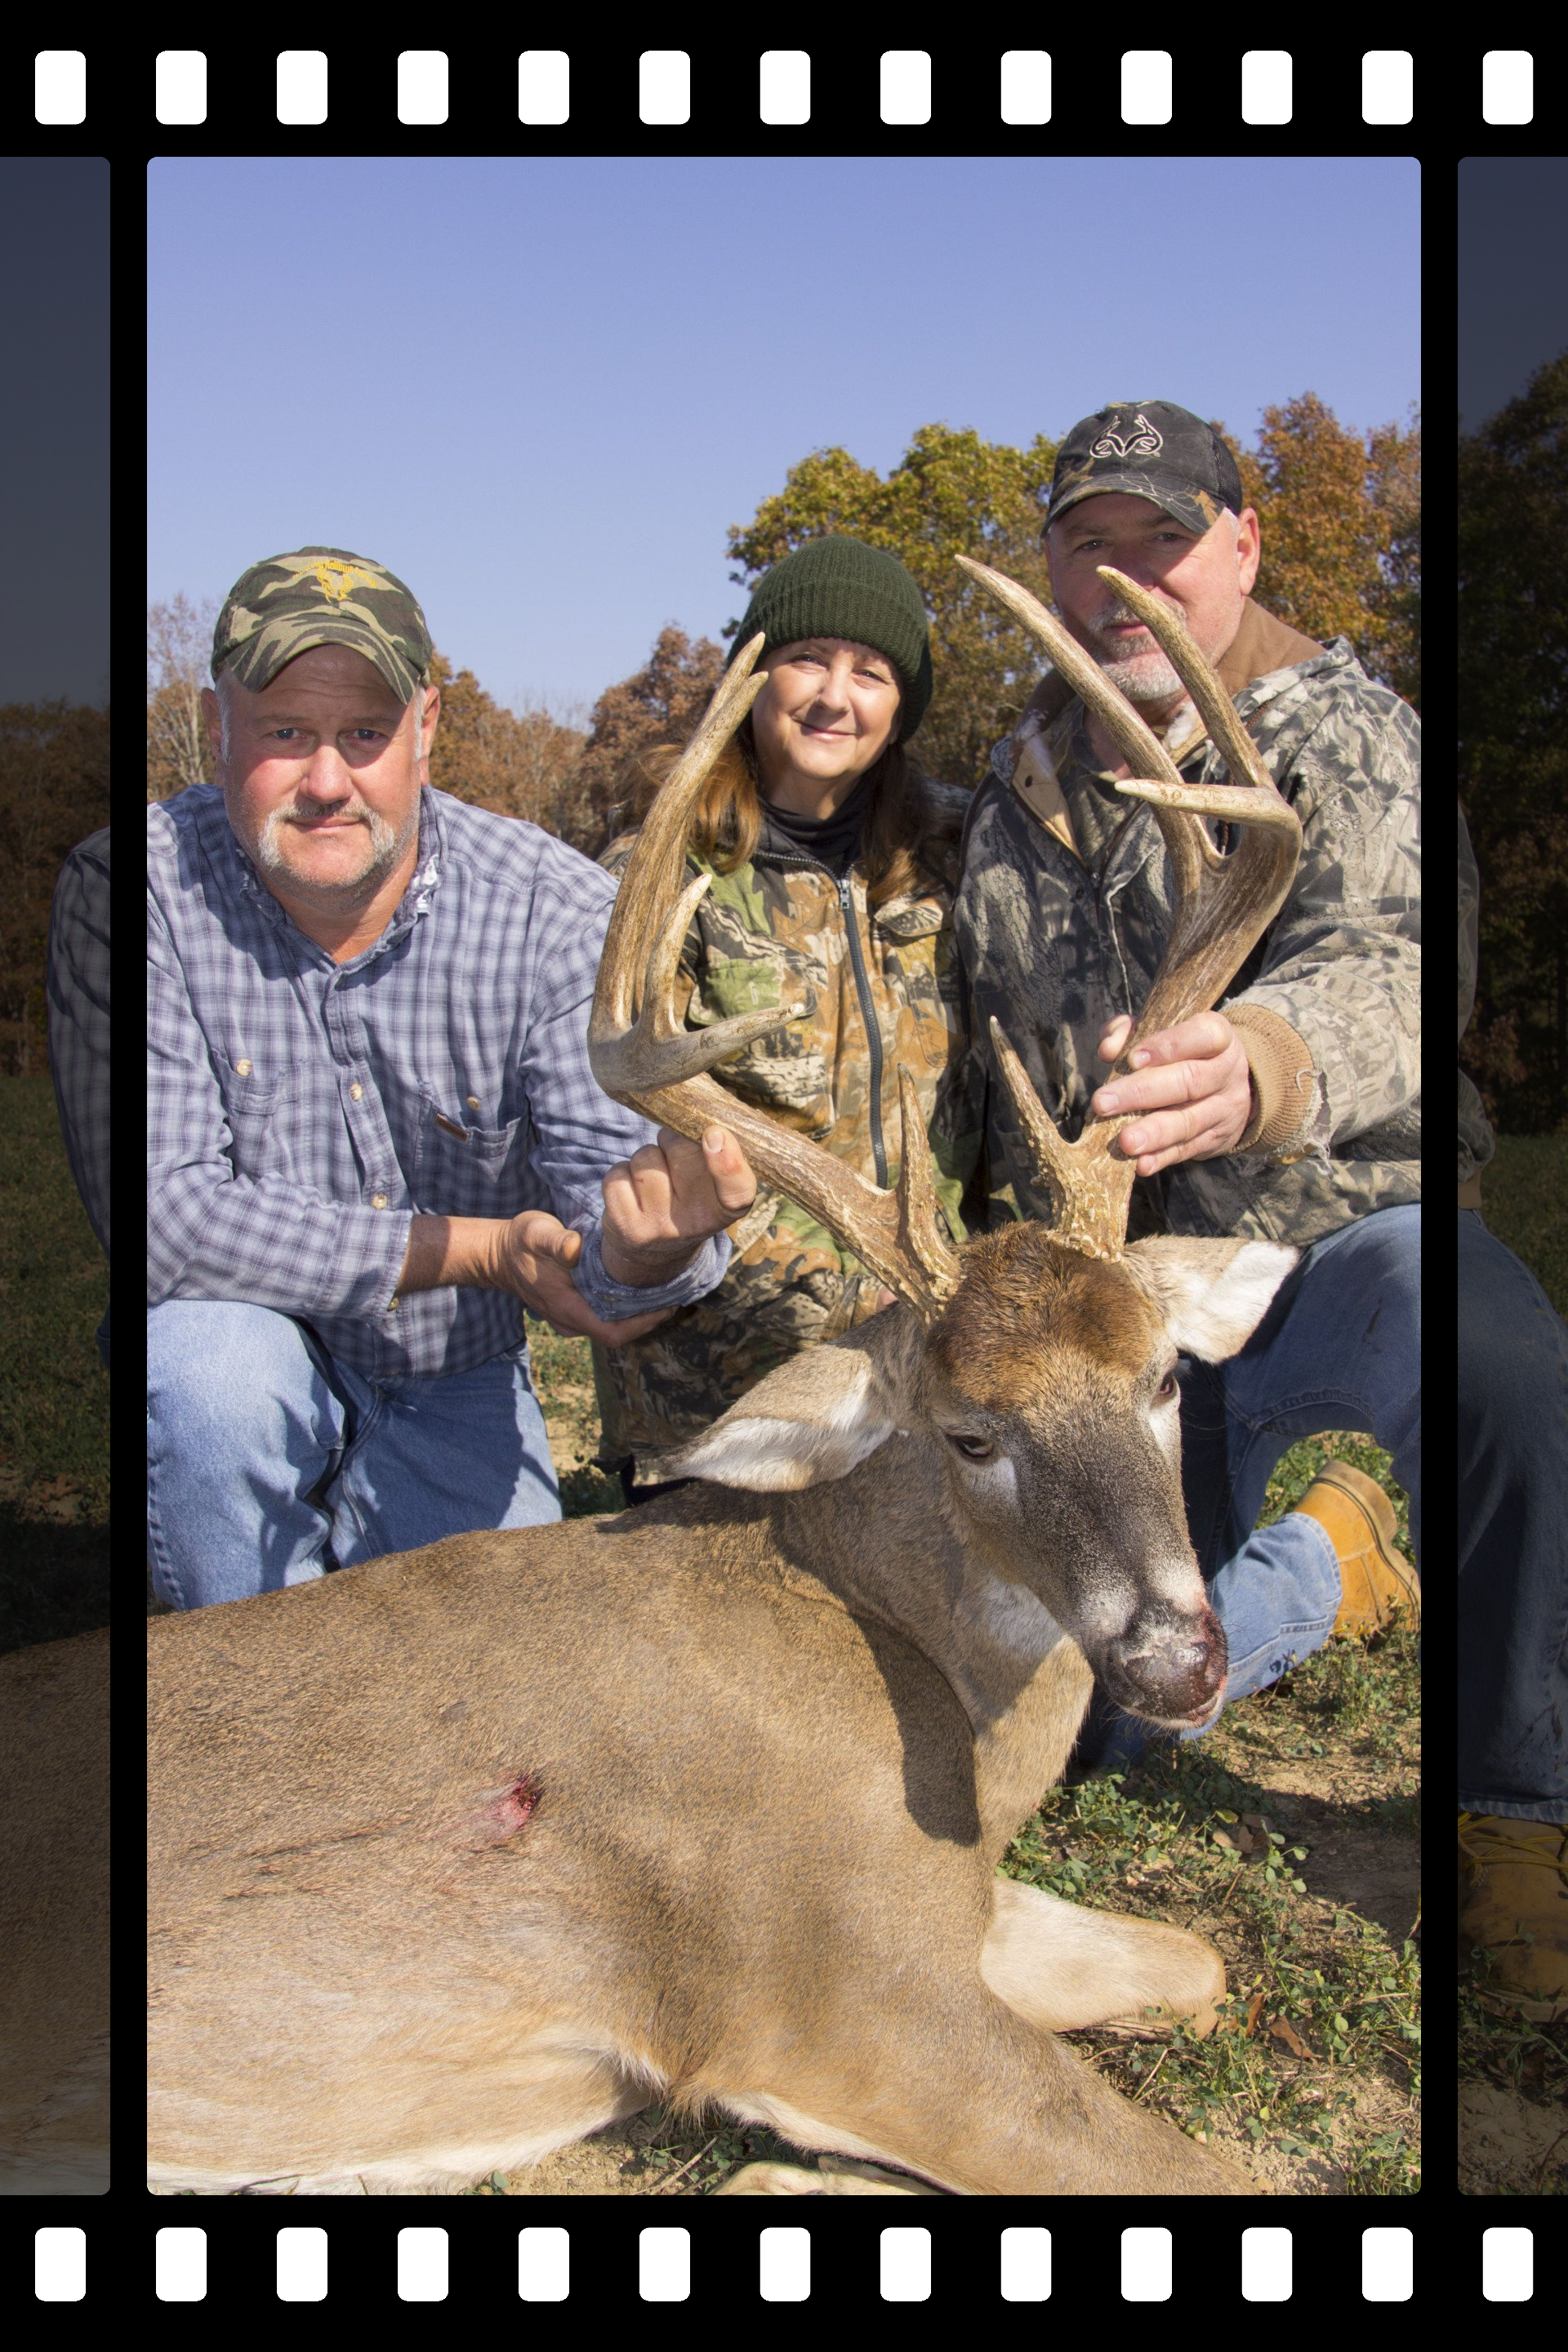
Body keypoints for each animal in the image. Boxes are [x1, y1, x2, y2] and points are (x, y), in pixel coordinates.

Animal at [147, 561, 1302, 2197]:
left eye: (1159, 1379)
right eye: (969, 1433)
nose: (1176, 1662)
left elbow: (1193, 1959)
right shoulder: (817, 1971)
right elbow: (1187, 2172)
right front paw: (781, 2175)